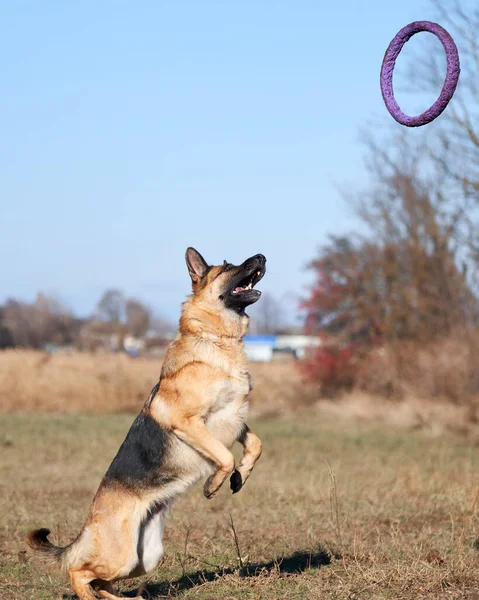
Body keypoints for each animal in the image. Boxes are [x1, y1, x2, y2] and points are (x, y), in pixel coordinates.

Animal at [27, 248, 266, 600]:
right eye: (227, 267)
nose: (262, 256)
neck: (214, 339)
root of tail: (87, 526)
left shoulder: (235, 418)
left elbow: (255, 445)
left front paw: (240, 476)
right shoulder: (189, 422)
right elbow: (224, 456)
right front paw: (213, 484)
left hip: (144, 557)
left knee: (100, 581)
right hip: (122, 555)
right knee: (78, 572)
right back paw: (90, 596)